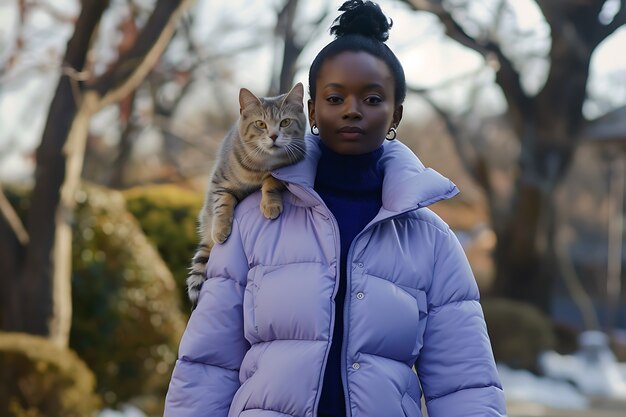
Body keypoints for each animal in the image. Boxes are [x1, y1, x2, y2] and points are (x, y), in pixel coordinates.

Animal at [186, 82, 306, 308]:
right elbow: (222, 202)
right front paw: (221, 228)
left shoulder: (287, 167)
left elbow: (271, 181)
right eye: (260, 124)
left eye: (285, 122)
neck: (261, 165)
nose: (274, 136)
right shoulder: (219, 182)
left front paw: (270, 203)